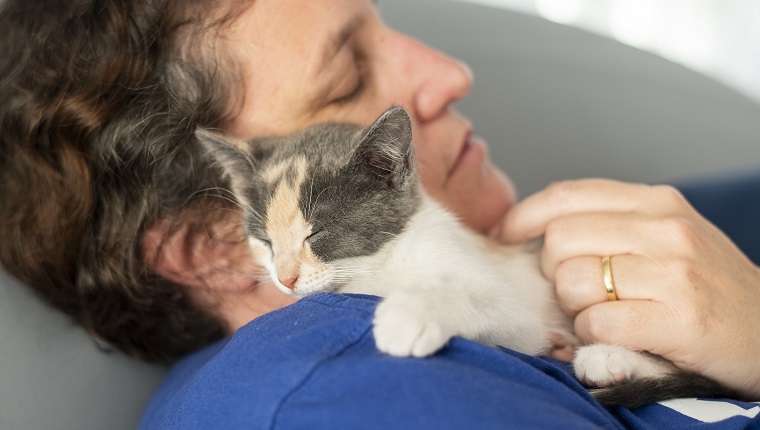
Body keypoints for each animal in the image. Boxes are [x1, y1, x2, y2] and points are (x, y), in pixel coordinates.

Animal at [196, 106, 736, 406]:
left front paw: (409, 316)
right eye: (265, 240)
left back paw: (605, 356)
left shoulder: (518, 313)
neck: (378, 268)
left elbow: (473, 300)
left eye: (319, 232)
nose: (285, 279)